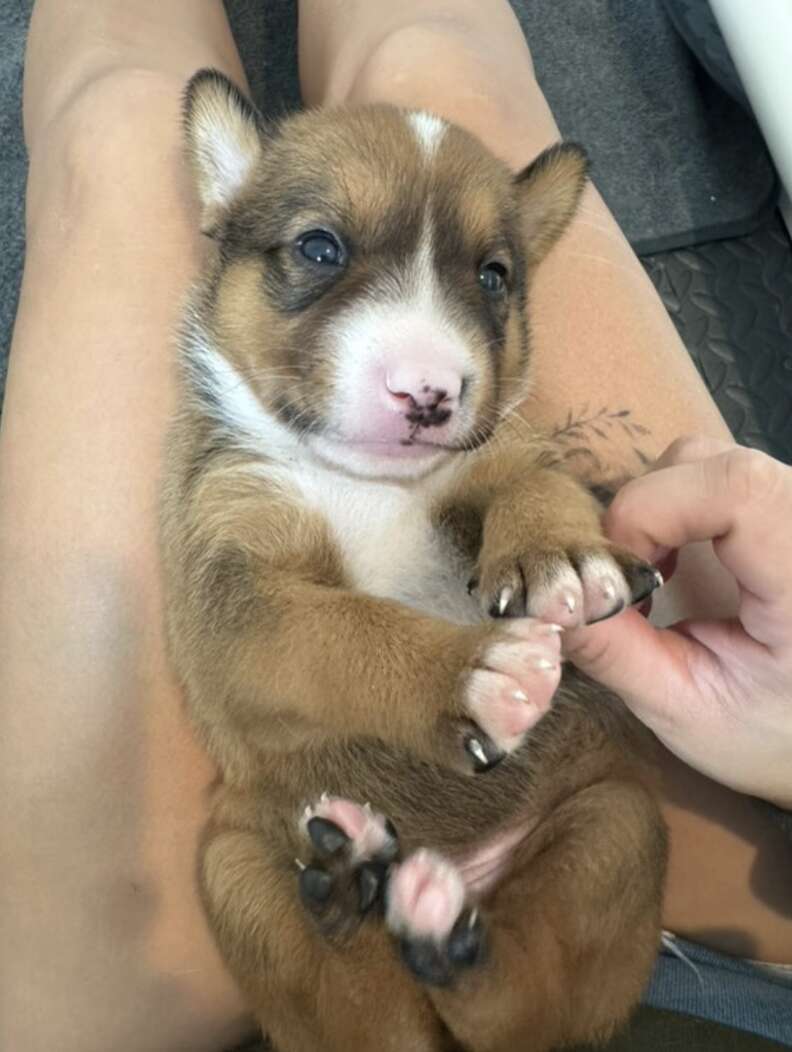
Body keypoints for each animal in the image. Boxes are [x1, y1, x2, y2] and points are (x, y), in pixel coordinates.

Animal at [160, 72, 668, 1052]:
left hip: (614, 828)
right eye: (319, 247)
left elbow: (533, 475)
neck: (367, 487)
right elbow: (340, 629)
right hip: (235, 871)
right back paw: (344, 882)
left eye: (494, 276)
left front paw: (563, 556)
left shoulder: (491, 458)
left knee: (511, 1001)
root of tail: (457, 867)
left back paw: (437, 929)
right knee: (368, 1014)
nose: (430, 393)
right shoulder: (233, 594)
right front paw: (476, 677)